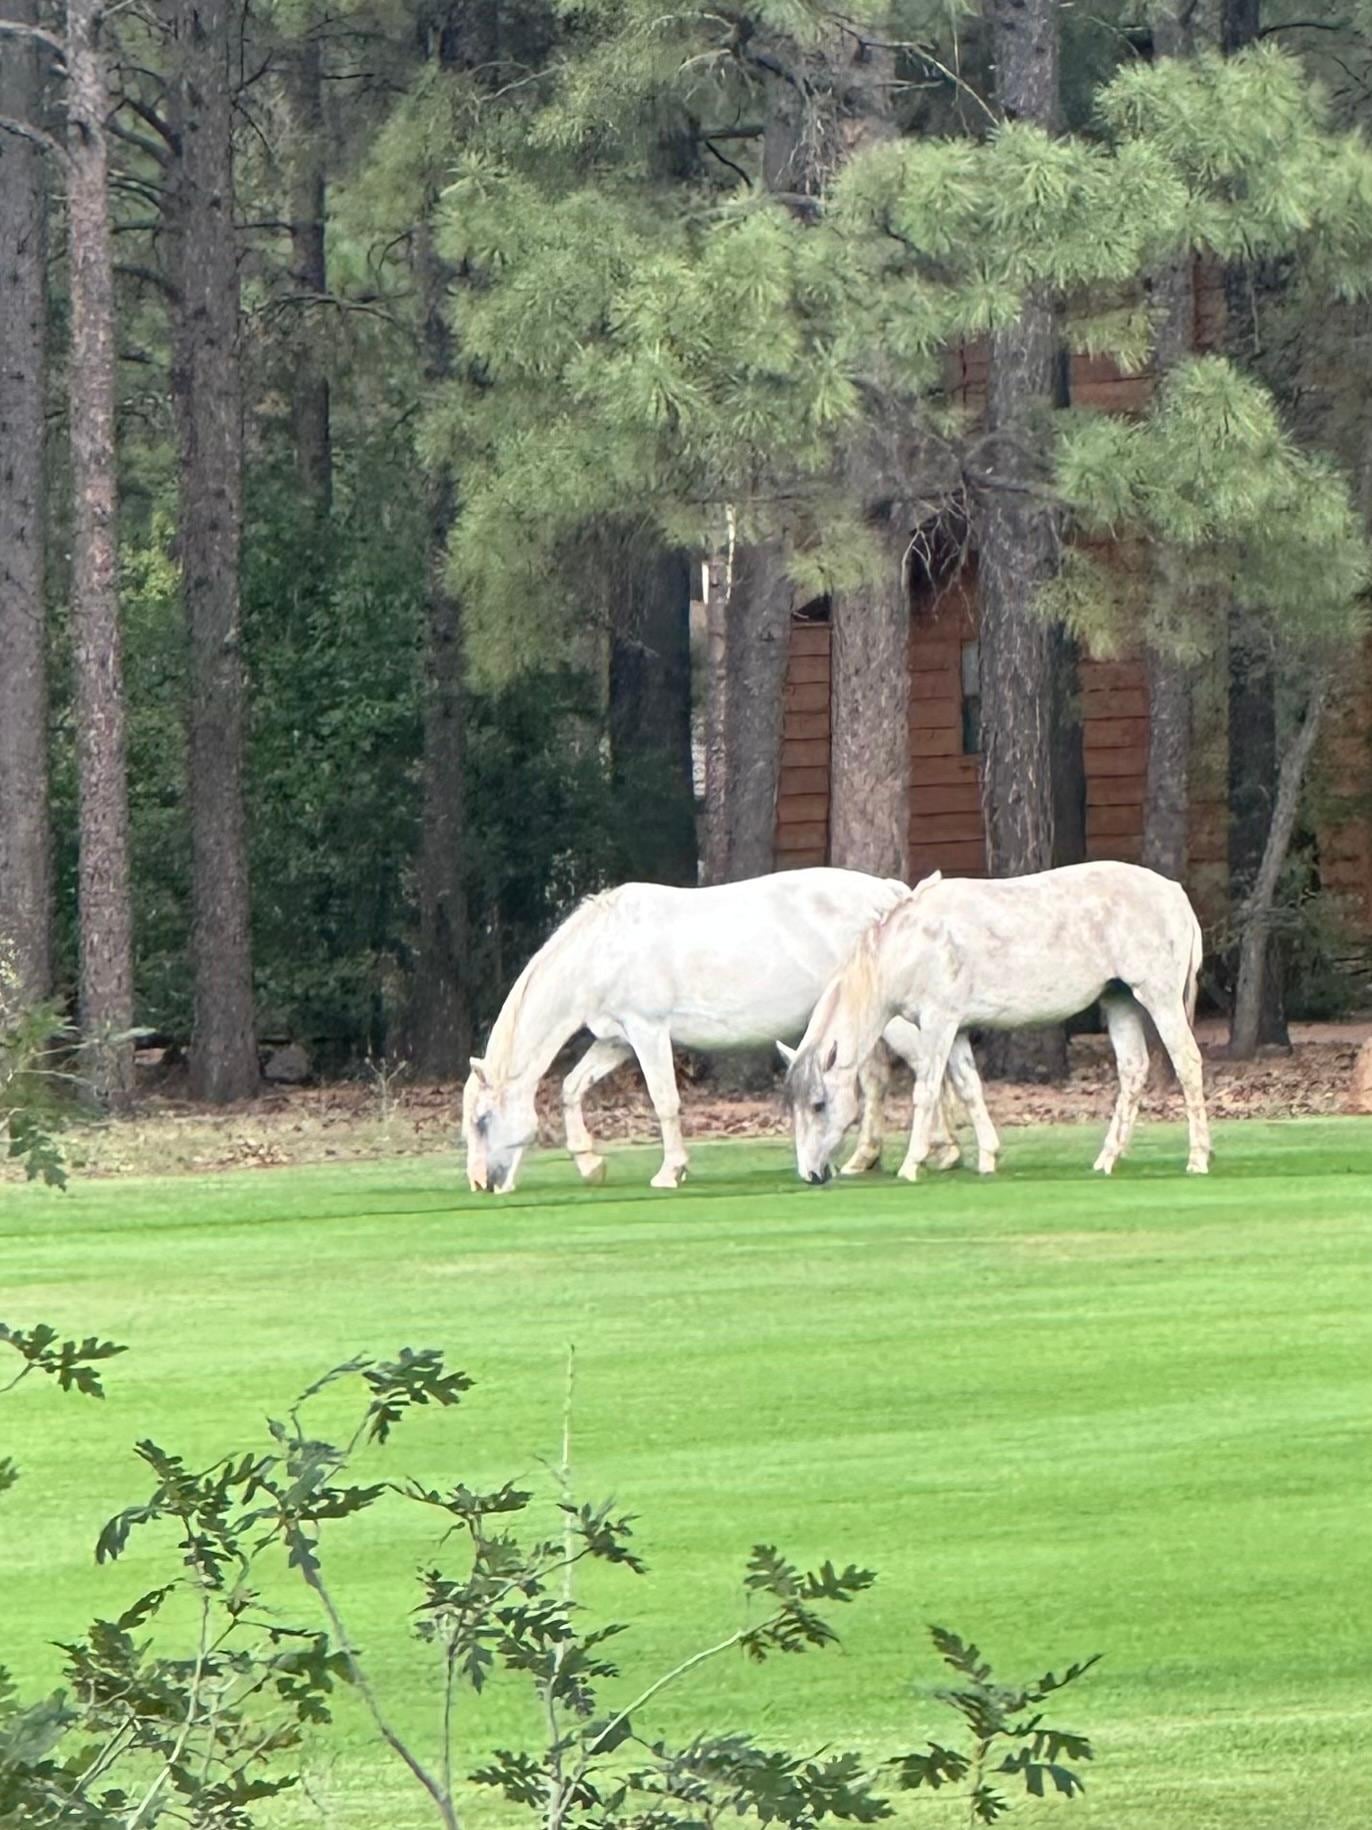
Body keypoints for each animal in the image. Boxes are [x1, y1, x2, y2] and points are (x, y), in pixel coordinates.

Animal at [462, 868, 1001, 1192]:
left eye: (482, 1121)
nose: (482, 1184)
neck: (601, 949)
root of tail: (897, 894)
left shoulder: (648, 1032)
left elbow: (664, 1101)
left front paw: (670, 1170)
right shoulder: (616, 1040)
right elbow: (573, 1089)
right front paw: (590, 1162)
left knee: (930, 1070)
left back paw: (943, 1151)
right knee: (889, 1079)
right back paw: (874, 1158)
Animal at [782, 860, 1210, 1185]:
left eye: (819, 1104)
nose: (812, 1174)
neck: (912, 945)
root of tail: (1175, 893)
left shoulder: (937, 1024)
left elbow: (927, 1092)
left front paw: (911, 1164)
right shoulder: (956, 1029)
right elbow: (970, 1088)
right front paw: (988, 1157)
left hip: (1159, 998)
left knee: (1187, 1063)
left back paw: (1198, 1157)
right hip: (1119, 1000)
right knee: (1133, 1070)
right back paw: (1107, 1158)